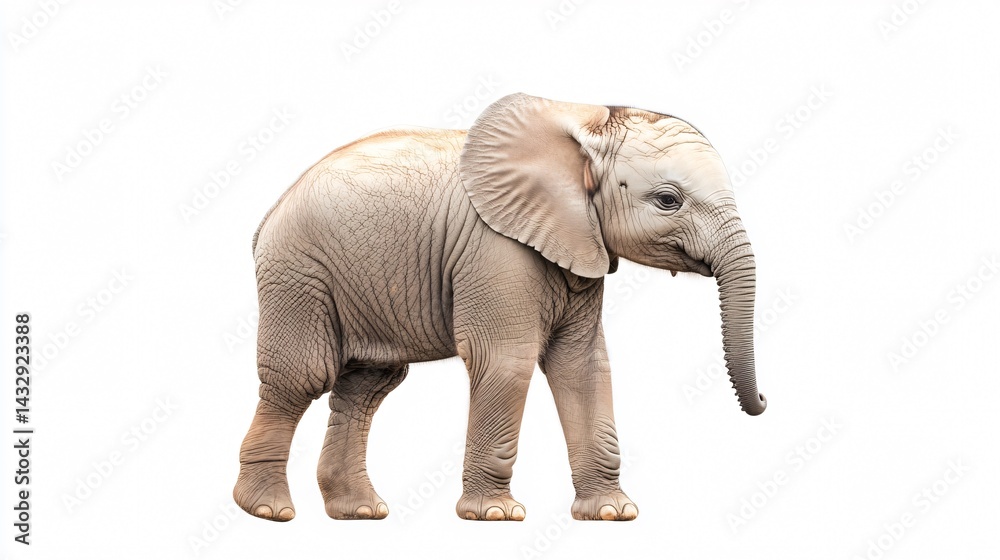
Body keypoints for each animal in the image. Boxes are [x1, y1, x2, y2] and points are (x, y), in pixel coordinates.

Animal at [233, 92, 766, 523]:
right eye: (668, 200)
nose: (761, 403)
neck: (582, 120)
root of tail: (268, 214)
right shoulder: (495, 249)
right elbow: (507, 361)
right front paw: (495, 516)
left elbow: (583, 366)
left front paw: (613, 514)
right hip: (299, 272)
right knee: (303, 377)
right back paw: (268, 511)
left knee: (367, 386)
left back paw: (360, 512)